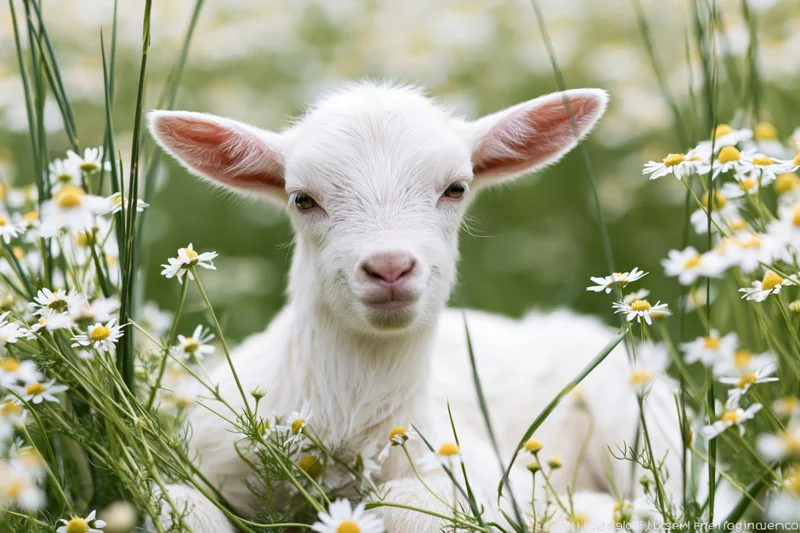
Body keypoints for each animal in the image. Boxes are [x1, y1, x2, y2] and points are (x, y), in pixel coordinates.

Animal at [148, 82, 689, 532]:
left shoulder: (480, 476)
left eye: (456, 188)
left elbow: (407, 505)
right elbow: (182, 506)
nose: (389, 267)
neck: (347, 429)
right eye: (302, 199)